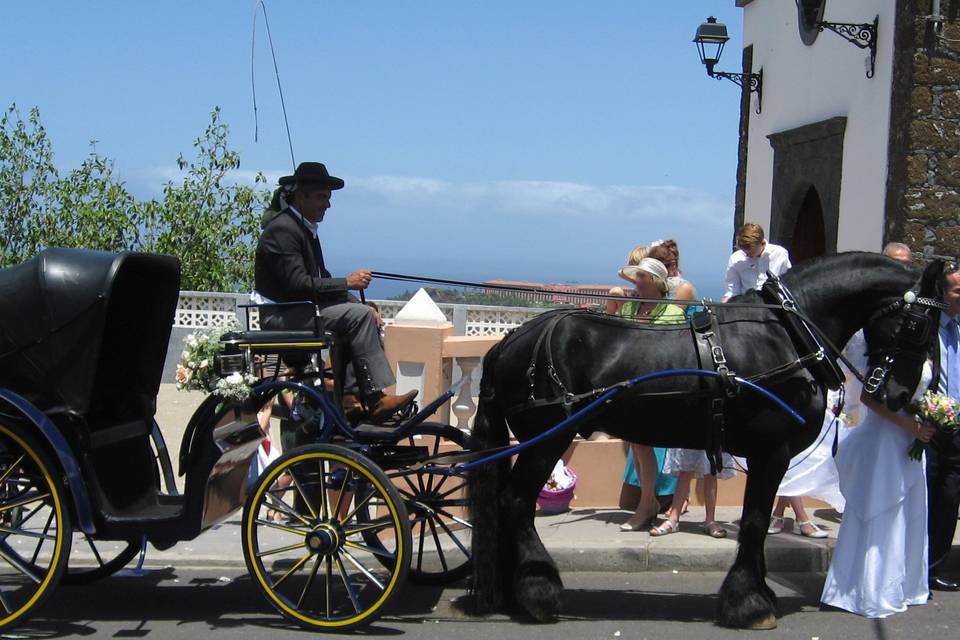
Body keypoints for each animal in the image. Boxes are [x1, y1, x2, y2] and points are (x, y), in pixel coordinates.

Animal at [466, 251, 944, 632]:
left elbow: (757, 523)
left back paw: (511, 591)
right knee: (516, 501)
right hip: (546, 438)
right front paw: (749, 603)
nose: (900, 395)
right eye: (919, 324)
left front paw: (760, 593)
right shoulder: (771, 451)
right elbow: (754, 522)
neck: (785, 333)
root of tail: (510, 342)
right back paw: (537, 591)